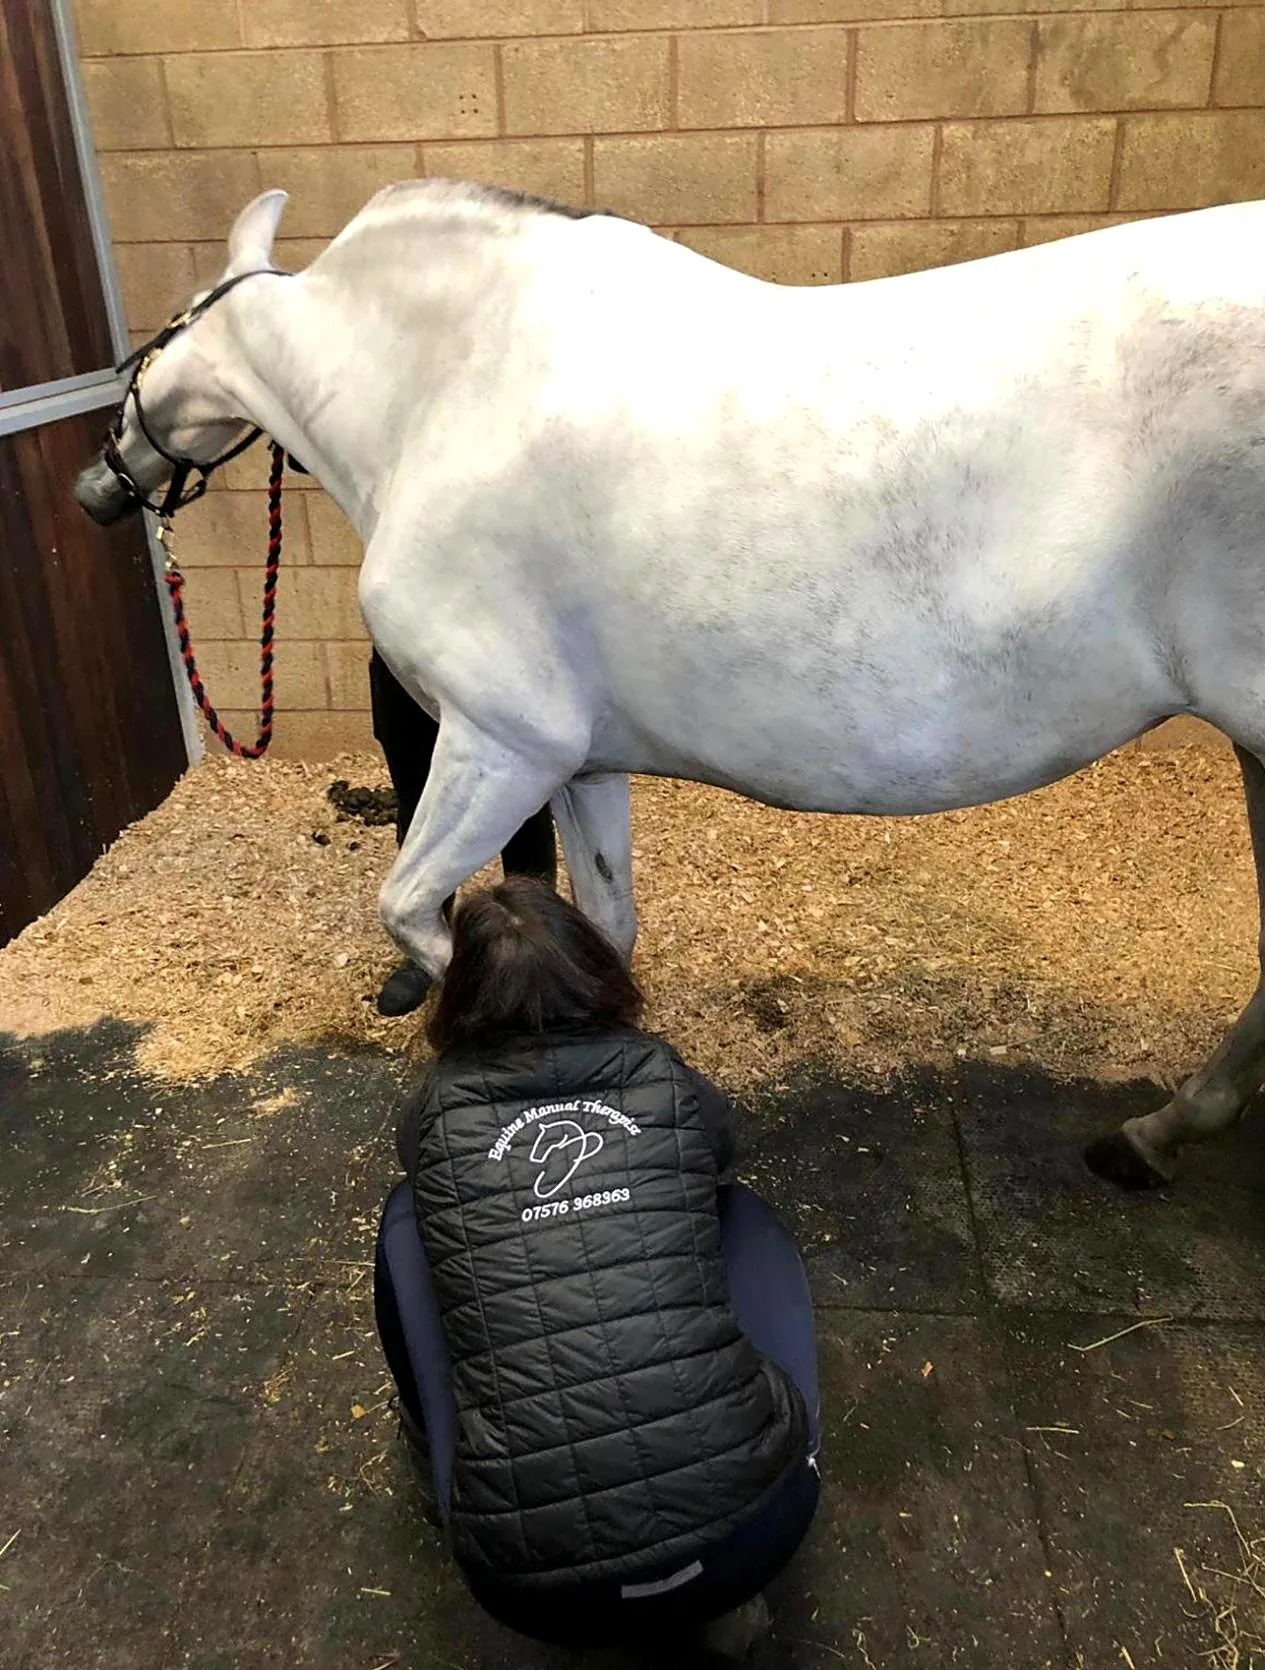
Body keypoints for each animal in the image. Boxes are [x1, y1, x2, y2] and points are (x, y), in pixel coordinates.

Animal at [74, 181, 1265, 1191]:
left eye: (152, 343)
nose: (95, 488)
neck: (448, 390)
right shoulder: (582, 765)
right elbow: (604, 922)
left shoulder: (501, 743)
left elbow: (412, 908)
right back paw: (1158, 1131)